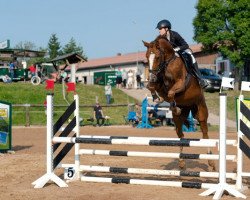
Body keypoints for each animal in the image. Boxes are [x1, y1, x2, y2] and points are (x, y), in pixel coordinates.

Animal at [142, 36, 216, 170]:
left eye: (157, 57)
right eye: (146, 56)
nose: (152, 77)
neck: (167, 63)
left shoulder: (180, 83)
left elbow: (171, 93)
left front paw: (171, 104)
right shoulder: (159, 84)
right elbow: (151, 87)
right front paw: (157, 98)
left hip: (201, 112)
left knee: (205, 134)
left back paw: (211, 162)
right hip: (179, 119)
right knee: (181, 135)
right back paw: (181, 162)